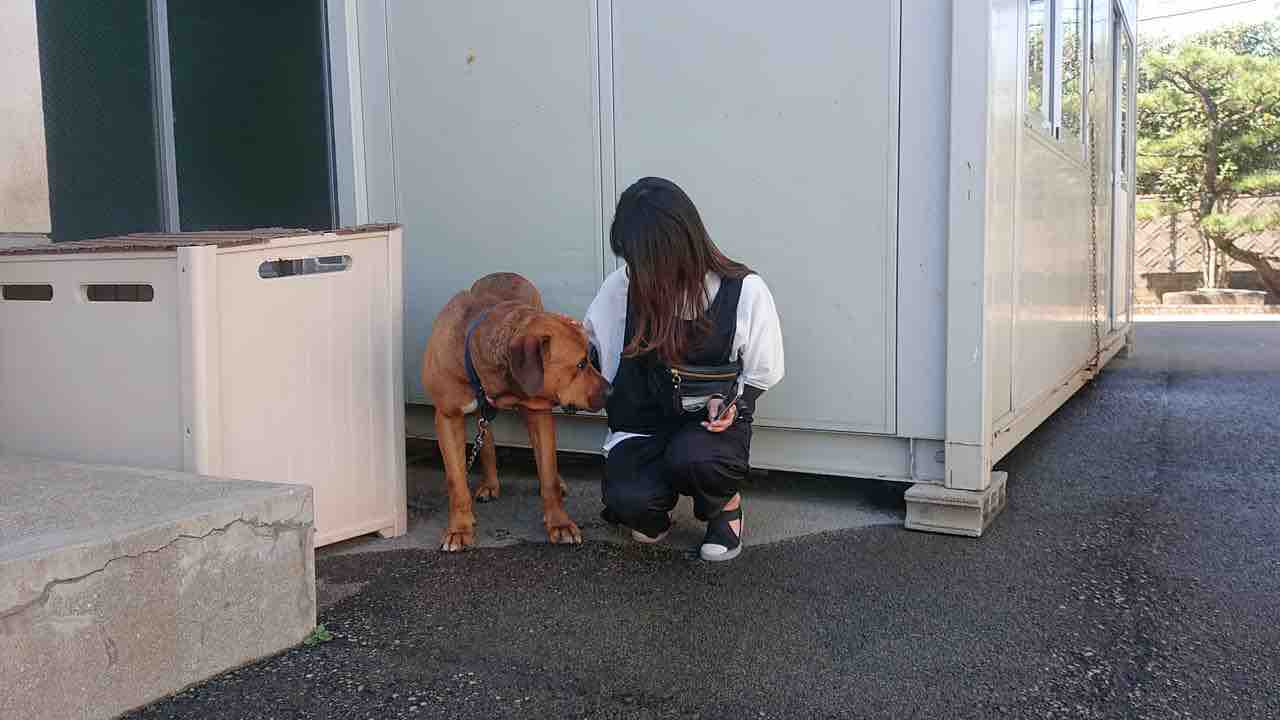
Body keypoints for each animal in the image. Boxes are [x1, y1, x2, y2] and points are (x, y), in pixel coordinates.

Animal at [419, 270, 609, 548]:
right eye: (581, 364)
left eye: (589, 358)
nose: (611, 390)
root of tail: (505, 273)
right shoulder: (447, 417)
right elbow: (456, 480)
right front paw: (459, 528)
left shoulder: (538, 412)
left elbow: (548, 473)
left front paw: (559, 523)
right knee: (486, 442)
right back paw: (490, 484)